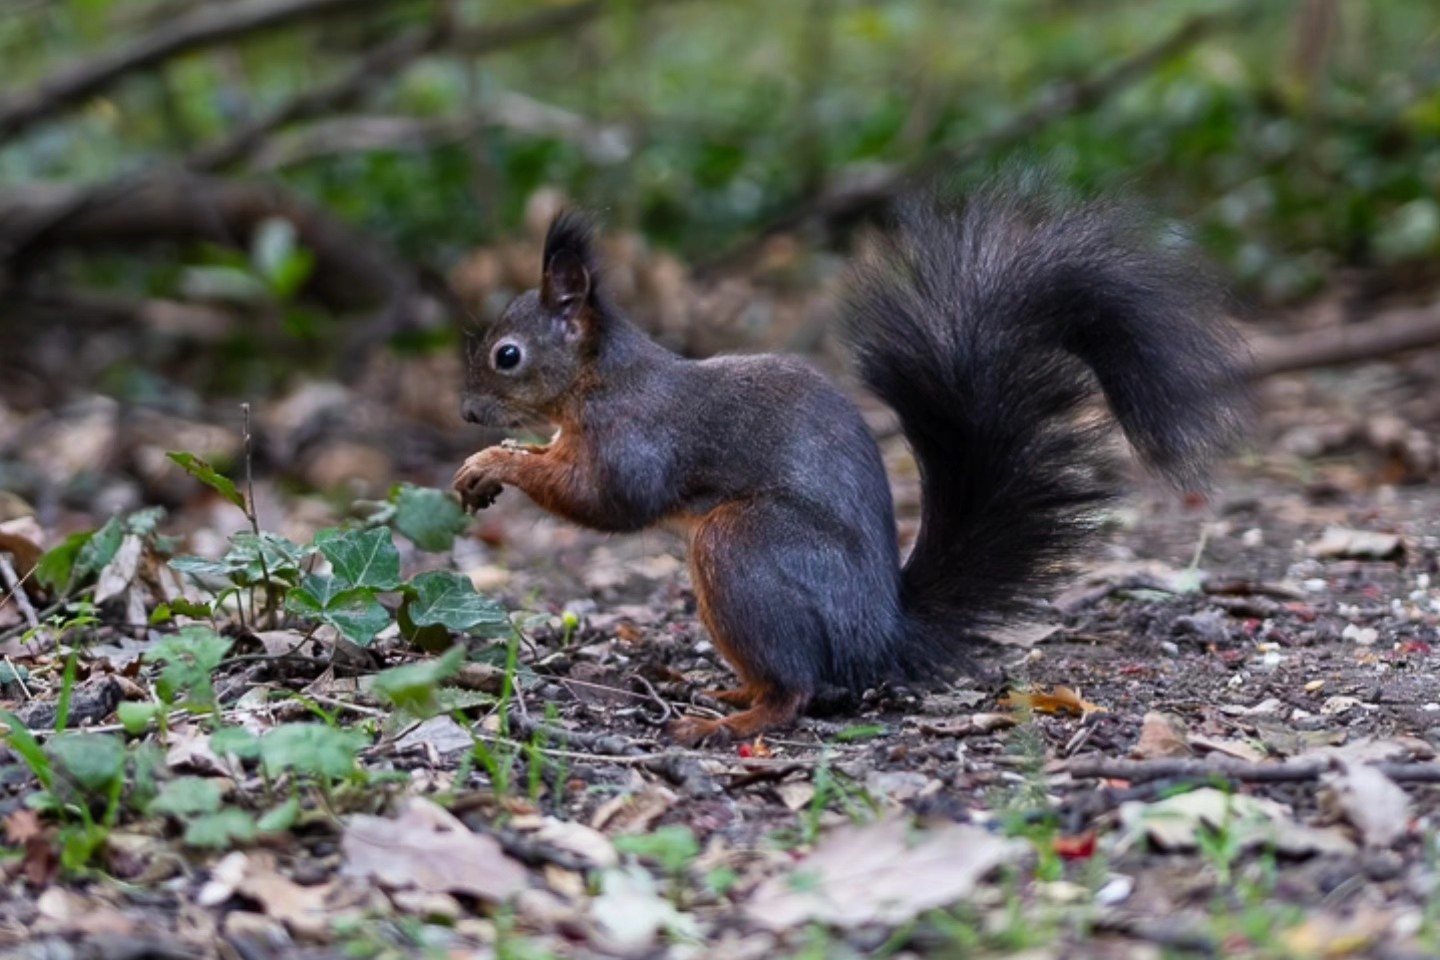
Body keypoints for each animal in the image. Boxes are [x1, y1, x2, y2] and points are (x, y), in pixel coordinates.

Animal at [454, 182, 1247, 745]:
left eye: (507, 356)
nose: (464, 412)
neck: (598, 382)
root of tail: (879, 634)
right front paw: (494, 459)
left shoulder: (636, 439)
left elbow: (606, 501)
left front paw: (493, 462)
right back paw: (726, 691)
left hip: (742, 548)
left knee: (796, 689)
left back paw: (729, 722)